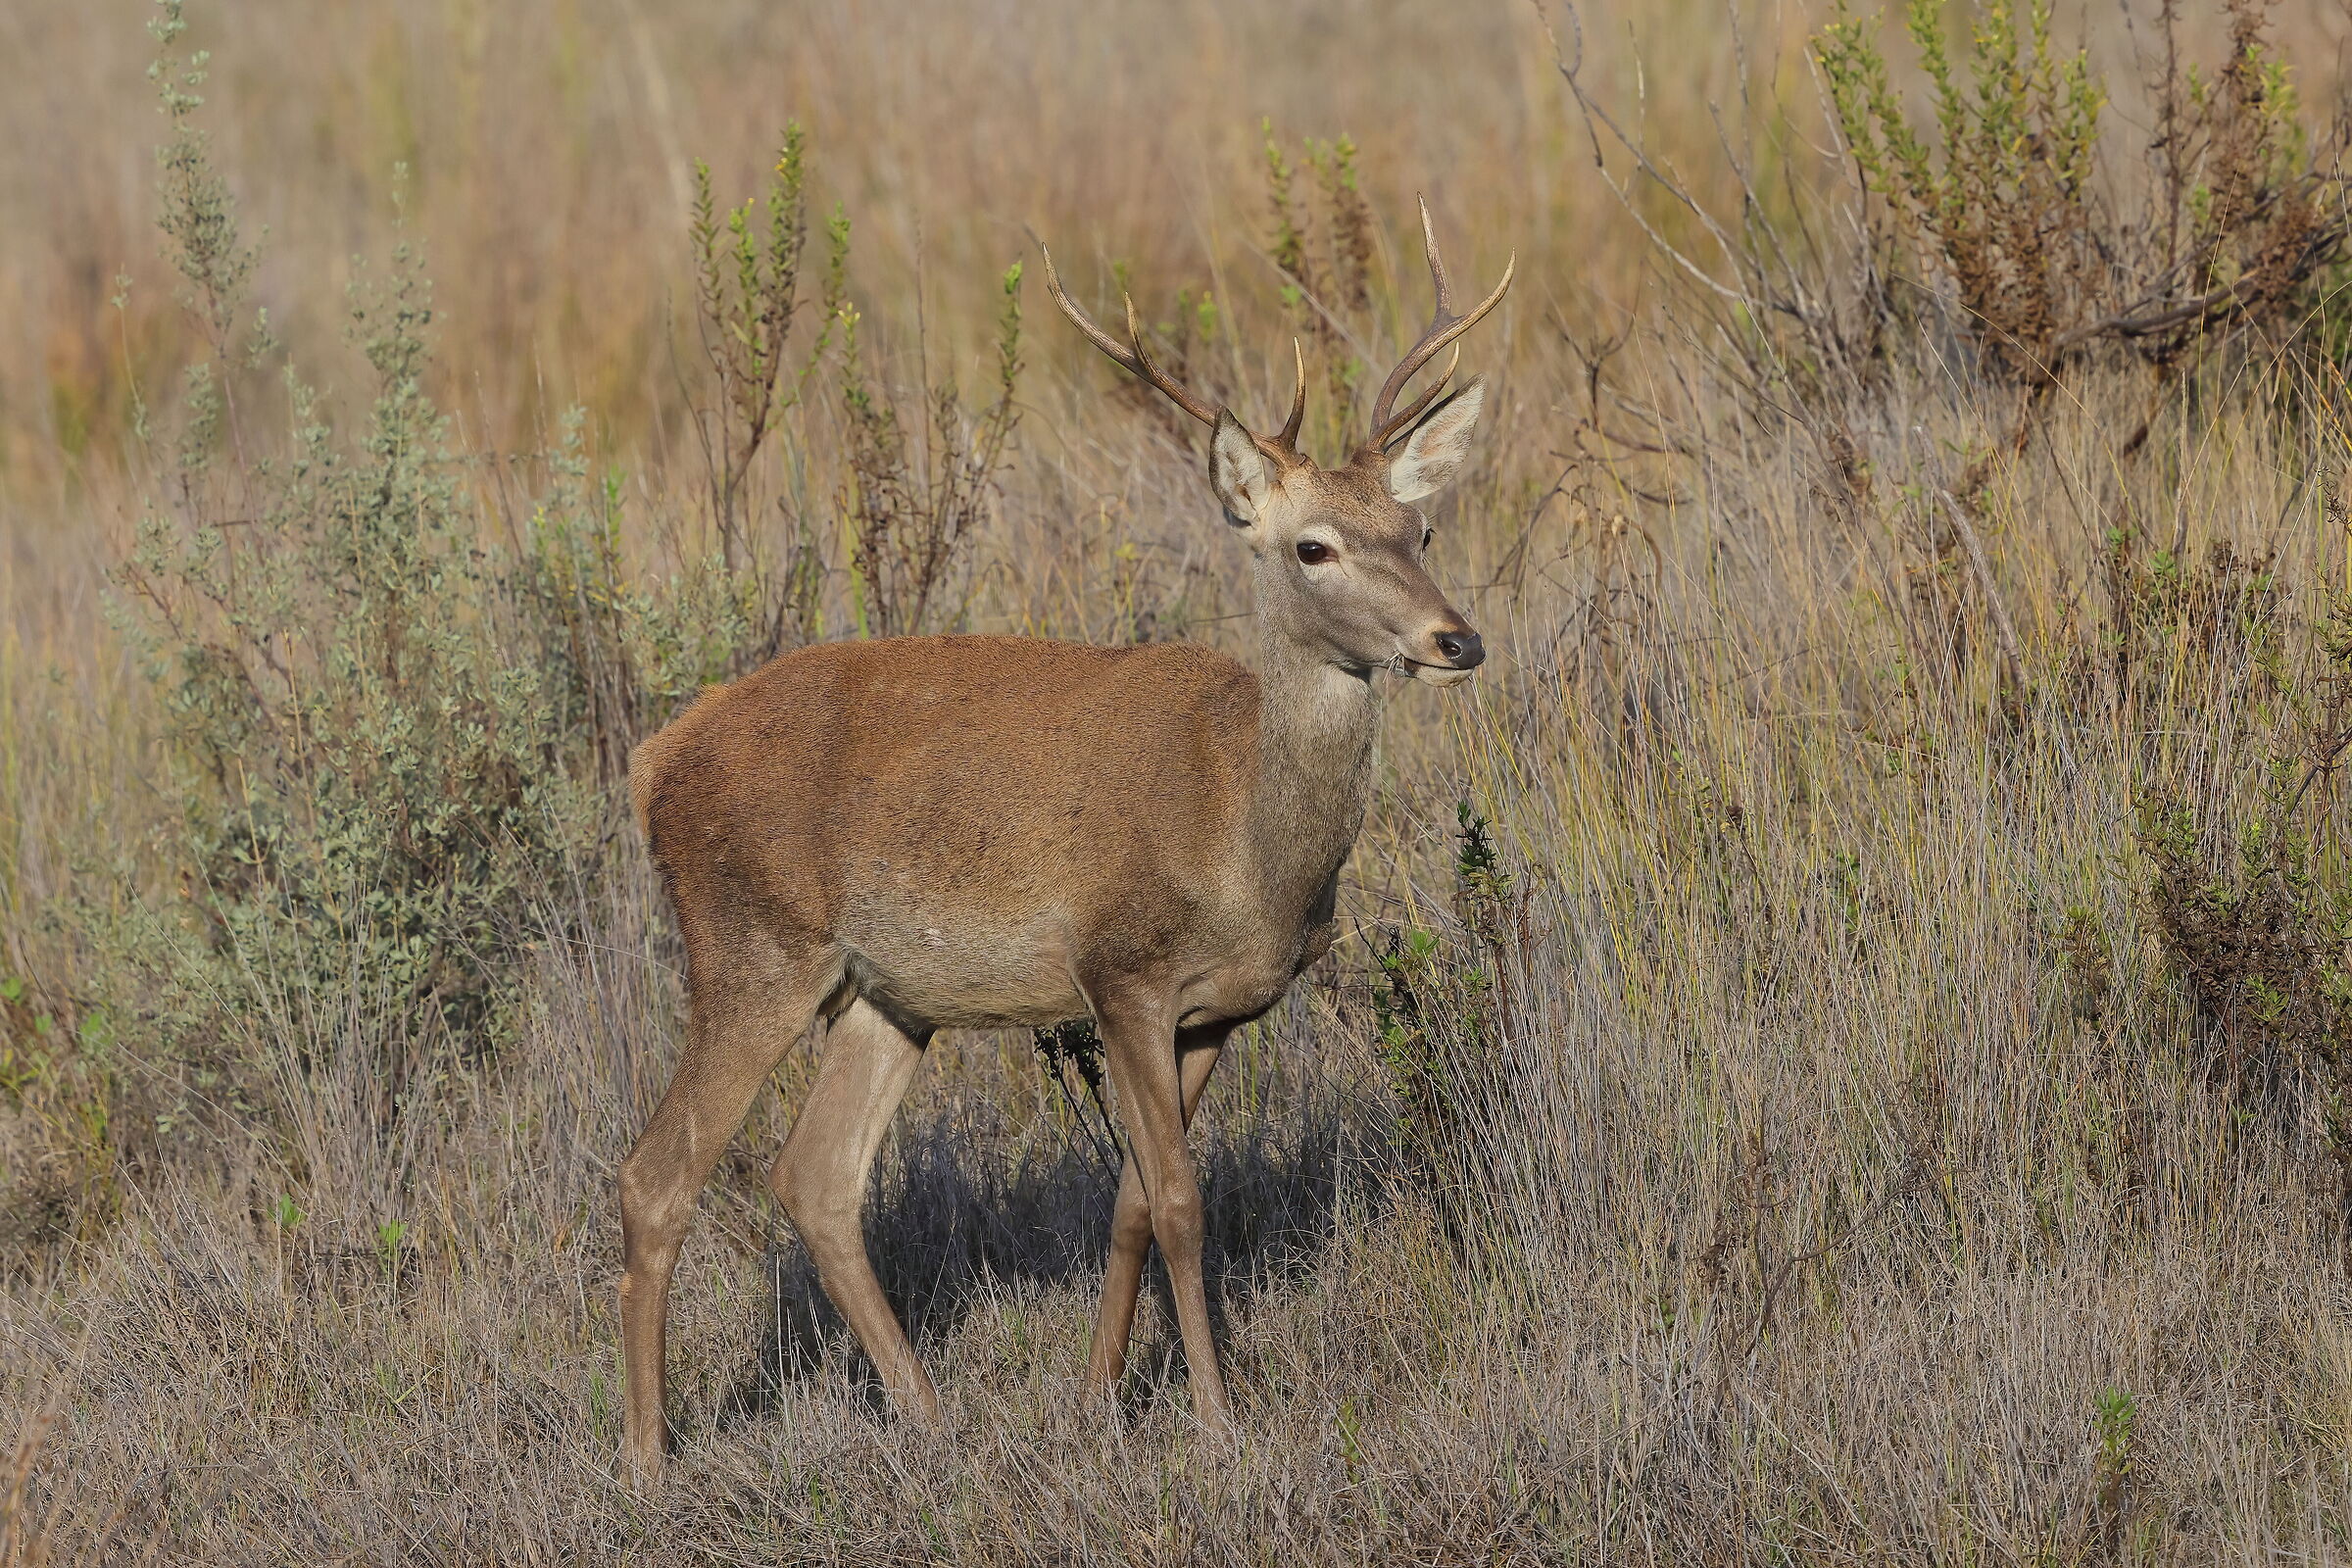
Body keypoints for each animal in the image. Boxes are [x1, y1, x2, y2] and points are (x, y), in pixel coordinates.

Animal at [618, 199, 1510, 1479]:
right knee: (659, 1174)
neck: (1242, 834)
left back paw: (930, 1418)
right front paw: (1219, 1424)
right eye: (1313, 547)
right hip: (751, 945)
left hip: (890, 990)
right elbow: (1182, 1197)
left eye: (1420, 524)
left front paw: (1098, 1402)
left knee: (816, 1177)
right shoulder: (1118, 966)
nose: (1455, 640)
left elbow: (1137, 1196)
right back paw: (649, 1461)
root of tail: (652, 761)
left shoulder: (1221, 1007)